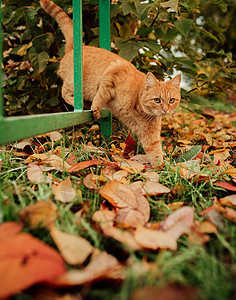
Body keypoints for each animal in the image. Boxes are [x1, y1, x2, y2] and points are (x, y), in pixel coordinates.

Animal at [39, 0, 182, 165]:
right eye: (157, 100)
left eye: (171, 100)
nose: (165, 110)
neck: (139, 107)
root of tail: (75, 47)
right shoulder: (111, 78)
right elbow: (100, 96)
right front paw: (95, 109)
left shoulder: (149, 134)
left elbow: (156, 152)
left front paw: (162, 168)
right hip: (74, 83)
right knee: (65, 93)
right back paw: (82, 103)